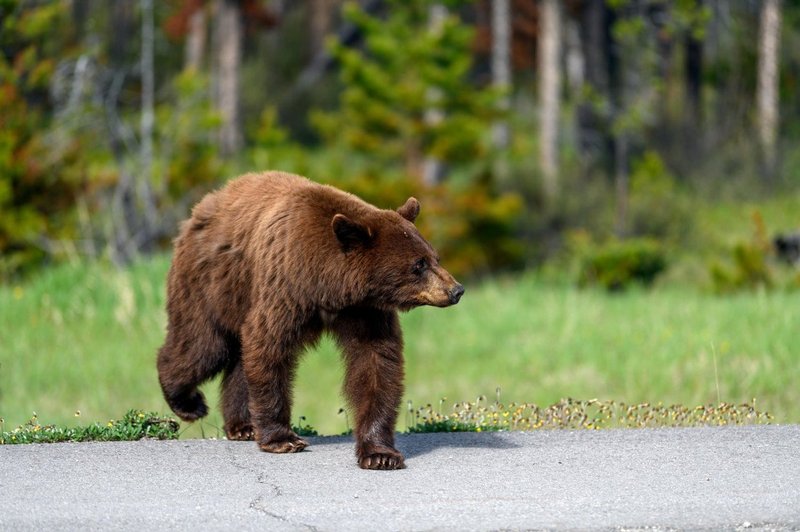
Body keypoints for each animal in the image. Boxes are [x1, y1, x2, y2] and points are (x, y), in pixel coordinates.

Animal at [158, 171, 462, 470]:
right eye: (418, 265)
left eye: (435, 257)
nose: (456, 290)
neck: (327, 285)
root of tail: (203, 206)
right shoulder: (285, 287)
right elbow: (269, 347)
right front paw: (283, 439)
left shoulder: (365, 311)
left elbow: (376, 363)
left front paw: (380, 454)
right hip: (210, 284)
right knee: (203, 346)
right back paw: (189, 402)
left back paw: (243, 426)